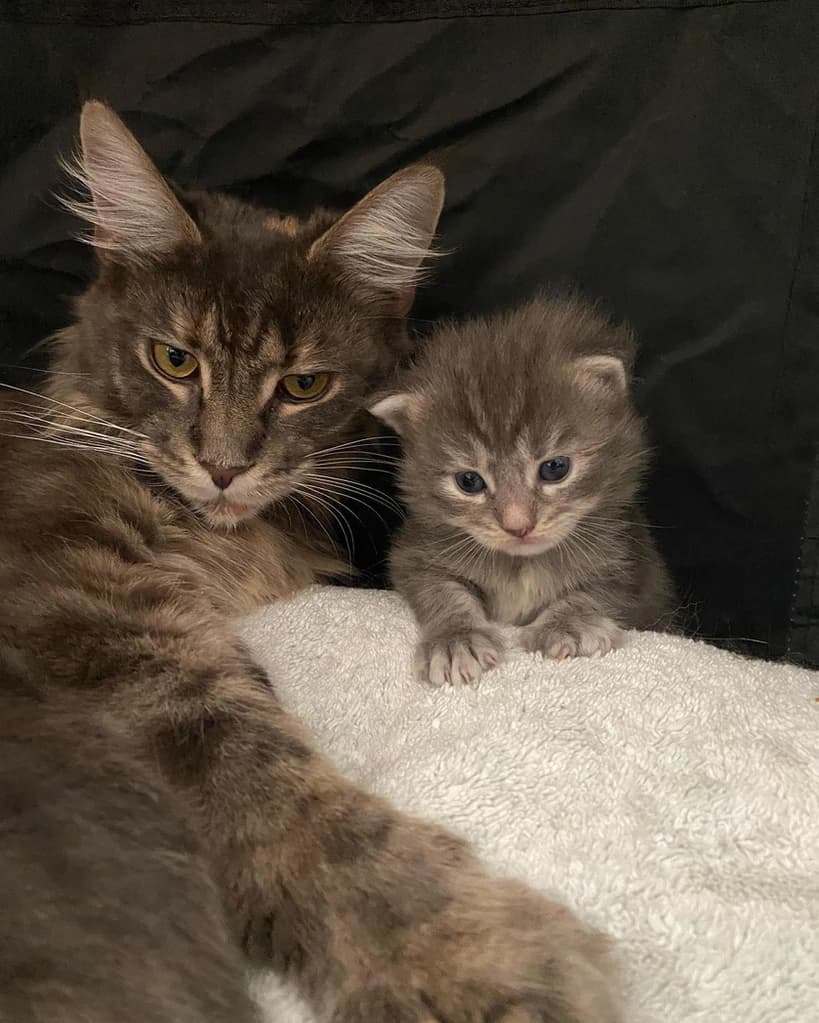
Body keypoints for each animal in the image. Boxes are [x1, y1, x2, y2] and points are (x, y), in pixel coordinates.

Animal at [0, 105, 621, 1023]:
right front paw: (461, 954)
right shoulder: (86, 607)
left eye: (303, 386)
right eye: (175, 360)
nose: (223, 466)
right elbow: (265, 783)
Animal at [372, 292, 678, 683]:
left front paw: (569, 623)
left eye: (554, 468)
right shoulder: (415, 551)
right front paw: (457, 639)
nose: (518, 526)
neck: (523, 566)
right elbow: (439, 589)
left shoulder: (634, 563)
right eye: (469, 481)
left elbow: (601, 590)